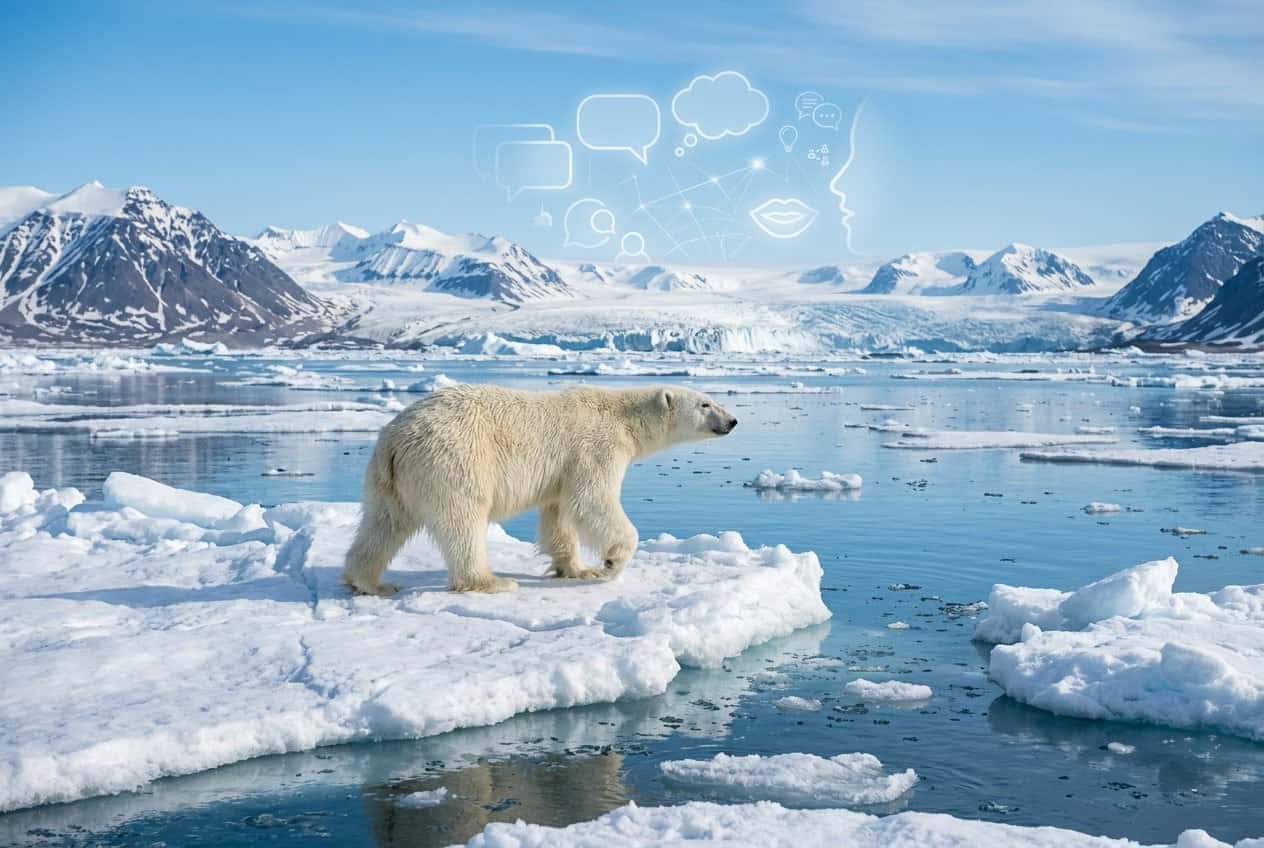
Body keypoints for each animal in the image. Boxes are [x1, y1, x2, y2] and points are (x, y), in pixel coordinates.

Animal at [343, 383, 738, 595]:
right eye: (705, 403)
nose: (733, 421)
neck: (622, 416)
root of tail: (394, 439)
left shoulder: (563, 469)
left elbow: (559, 514)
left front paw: (577, 569)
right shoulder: (596, 448)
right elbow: (593, 500)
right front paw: (611, 563)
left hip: (388, 480)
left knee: (384, 524)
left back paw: (370, 582)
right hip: (453, 460)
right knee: (463, 521)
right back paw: (491, 581)